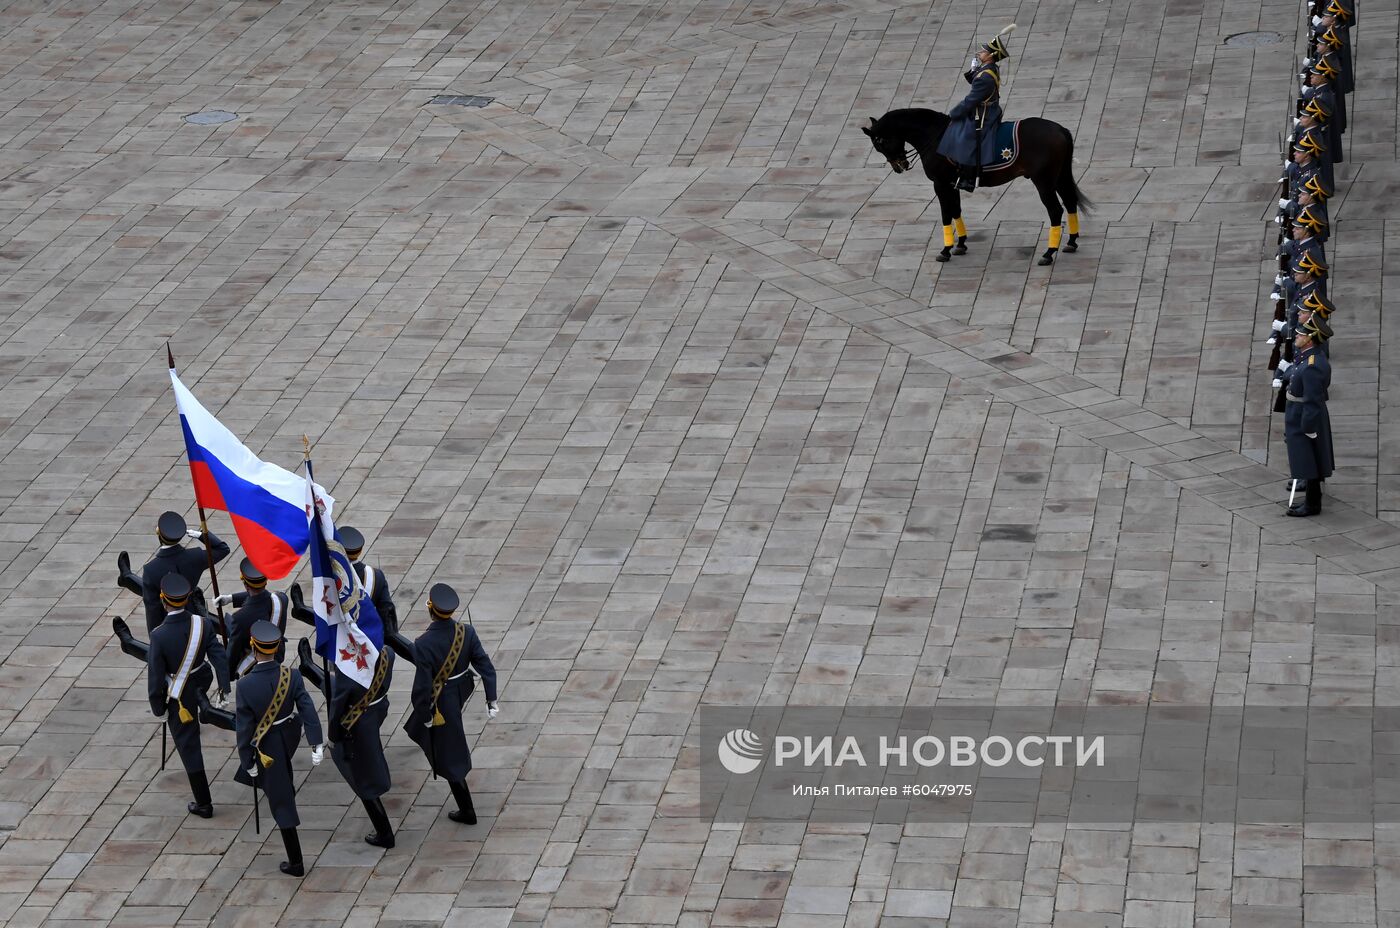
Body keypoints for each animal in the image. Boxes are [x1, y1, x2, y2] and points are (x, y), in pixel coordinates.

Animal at [862, 111, 1092, 268]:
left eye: (880, 143)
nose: (899, 166)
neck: (935, 136)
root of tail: (1060, 129)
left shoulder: (940, 183)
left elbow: (946, 214)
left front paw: (946, 249)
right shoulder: (952, 183)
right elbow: (956, 210)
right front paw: (961, 244)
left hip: (1043, 181)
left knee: (1055, 210)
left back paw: (1048, 253)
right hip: (1059, 176)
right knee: (1070, 202)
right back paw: (1071, 241)